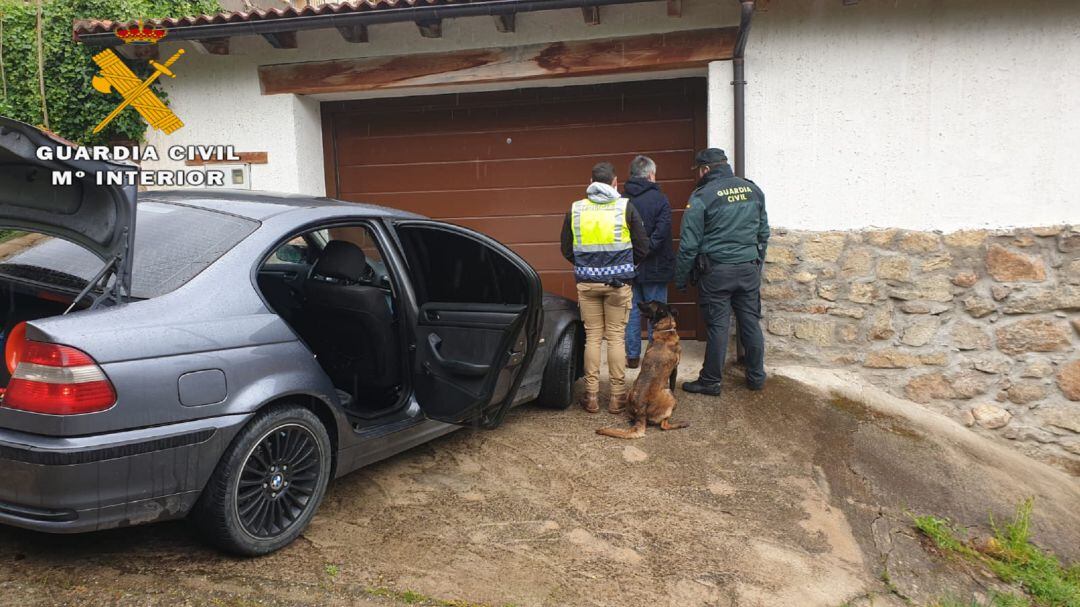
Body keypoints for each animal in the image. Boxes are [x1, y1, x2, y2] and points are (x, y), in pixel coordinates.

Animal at [596, 300, 686, 436]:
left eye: (650, 303)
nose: (637, 302)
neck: (665, 329)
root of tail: (641, 412)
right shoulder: (675, 370)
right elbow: (673, 385)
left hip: (630, 392)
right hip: (668, 394)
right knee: (664, 425)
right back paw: (681, 423)